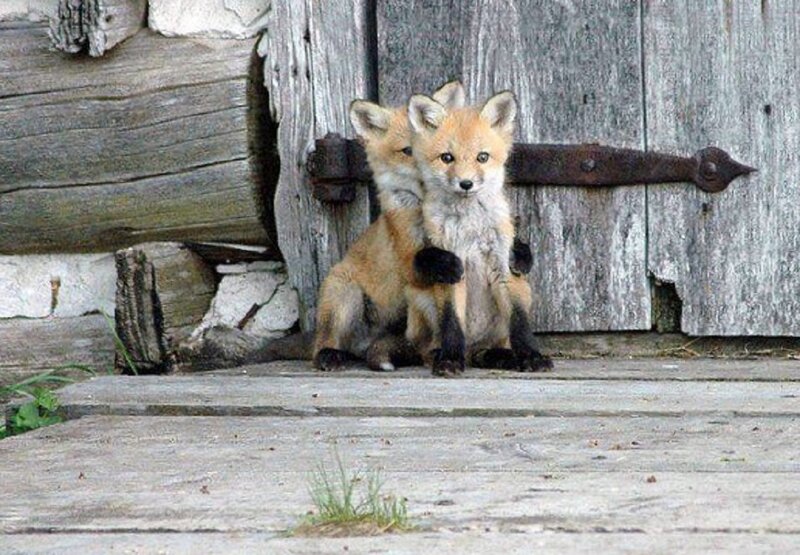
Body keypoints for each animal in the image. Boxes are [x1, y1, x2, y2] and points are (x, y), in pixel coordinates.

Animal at [406, 89, 553, 376]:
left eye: (482, 157)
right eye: (447, 158)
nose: (466, 183)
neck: (470, 227)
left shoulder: (503, 265)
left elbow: (519, 322)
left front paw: (531, 356)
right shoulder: (451, 269)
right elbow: (452, 322)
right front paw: (450, 359)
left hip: (524, 292)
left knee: (488, 348)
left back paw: (501, 356)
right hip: (420, 297)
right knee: (430, 347)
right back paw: (445, 354)